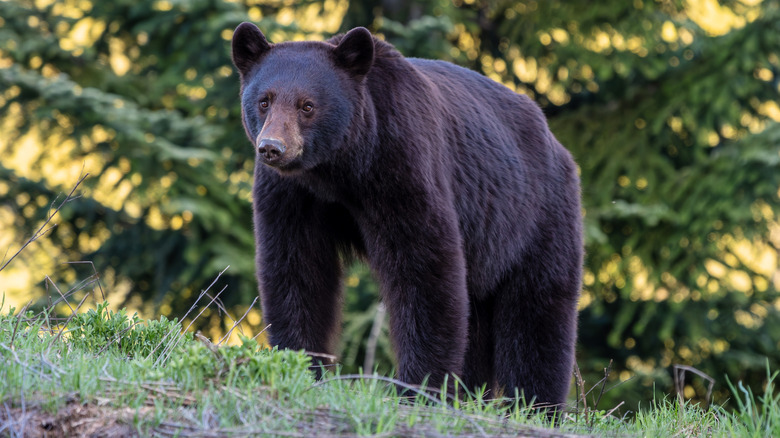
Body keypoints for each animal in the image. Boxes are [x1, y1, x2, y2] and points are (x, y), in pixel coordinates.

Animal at [232, 22, 584, 408]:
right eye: (264, 101)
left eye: (307, 105)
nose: (272, 148)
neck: (338, 170)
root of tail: (557, 144)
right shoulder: (293, 196)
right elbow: (297, 270)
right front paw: (301, 365)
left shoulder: (401, 164)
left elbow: (423, 268)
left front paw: (420, 387)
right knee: (477, 318)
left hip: (535, 216)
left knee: (538, 310)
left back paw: (537, 404)